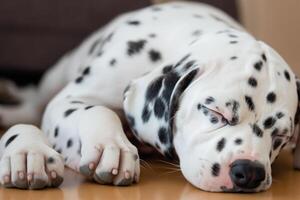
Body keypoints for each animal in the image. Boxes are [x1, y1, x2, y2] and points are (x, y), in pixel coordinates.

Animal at [0, 0, 300, 192]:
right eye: (216, 113)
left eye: (280, 137)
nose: (249, 172)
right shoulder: (68, 100)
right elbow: (98, 110)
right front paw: (111, 147)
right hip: (54, 79)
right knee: (32, 104)